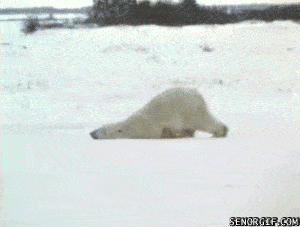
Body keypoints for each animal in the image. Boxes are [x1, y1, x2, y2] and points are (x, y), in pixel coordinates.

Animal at [90, 88, 229, 139]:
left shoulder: (150, 128)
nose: (91, 133)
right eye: (99, 127)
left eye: (101, 130)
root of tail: (197, 94)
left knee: (202, 121)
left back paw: (220, 132)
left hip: (189, 110)